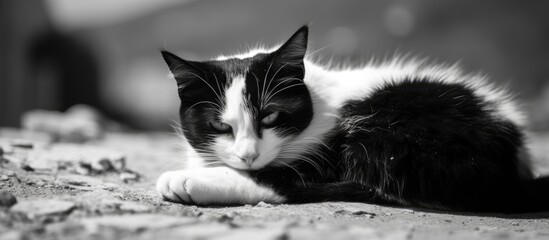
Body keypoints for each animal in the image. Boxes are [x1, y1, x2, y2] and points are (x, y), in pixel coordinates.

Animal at [155, 25, 548, 213]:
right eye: (220, 126)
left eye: (271, 116)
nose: (248, 155)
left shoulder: (323, 153)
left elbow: (285, 176)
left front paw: (193, 178)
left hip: (395, 125)